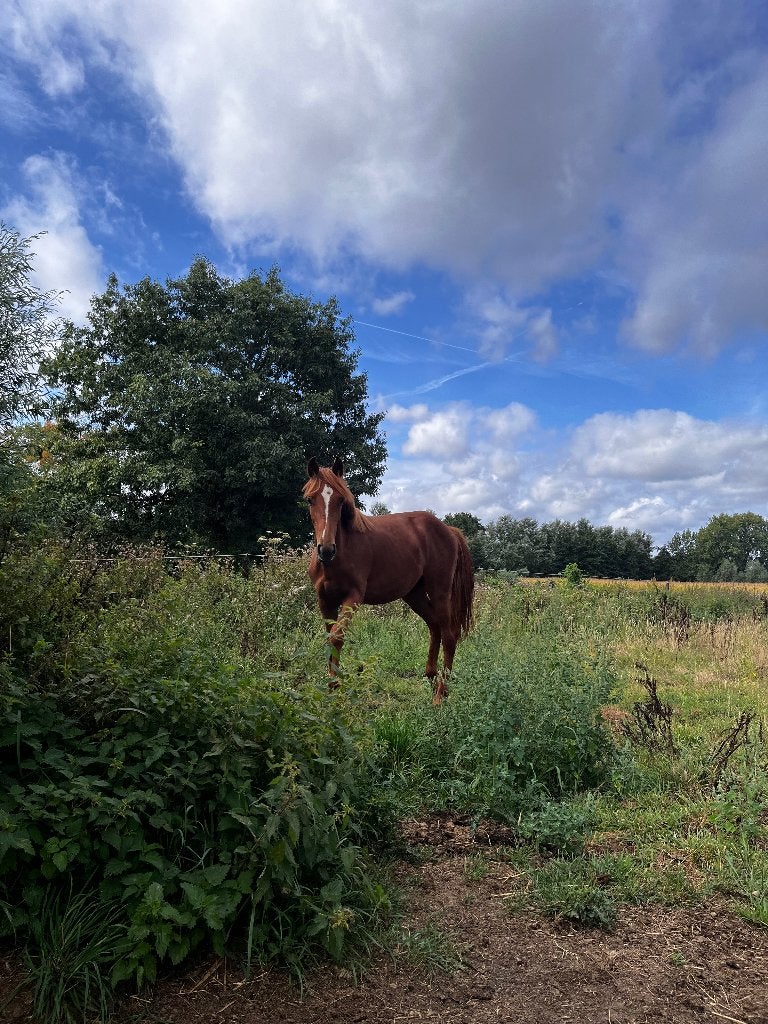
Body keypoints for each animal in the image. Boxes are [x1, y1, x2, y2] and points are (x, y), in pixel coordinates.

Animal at [303, 456, 474, 704]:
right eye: (309, 499)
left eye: (340, 500)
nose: (326, 550)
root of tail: (449, 530)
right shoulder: (324, 599)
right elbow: (329, 638)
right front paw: (330, 688)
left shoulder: (353, 598)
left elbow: (337, 637)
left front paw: (334, 688)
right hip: (414, 595)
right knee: (434, 626)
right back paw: (431, 678)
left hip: (440, 591)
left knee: (449, 635)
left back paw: (440, 695)